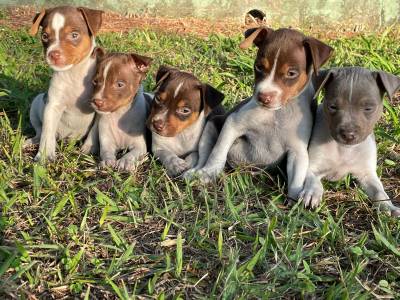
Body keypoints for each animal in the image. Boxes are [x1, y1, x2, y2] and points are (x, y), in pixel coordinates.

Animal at [26, 5, 104, 162]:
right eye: (44, 36)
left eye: (74, 35)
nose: (53, 54)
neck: (75, 74)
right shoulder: (52, 106)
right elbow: (47, 131)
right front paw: (44, 155)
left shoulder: (100, 108)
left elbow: (94, 131)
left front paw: (88, 148)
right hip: (37, 102)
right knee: (40, 131)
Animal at [189, 25, 332, 202]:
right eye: (258, 67)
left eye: (291, 73)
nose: (263, 97)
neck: (277, 113)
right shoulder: (233, 124)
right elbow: (218, 152)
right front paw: (209, 173)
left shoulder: (298, 151)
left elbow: (297, 180)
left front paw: (295, 202)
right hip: (211, 125)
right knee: (205, 154)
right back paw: (195, 172)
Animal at [300, 66, 400, 216]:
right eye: (332, 106)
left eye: (368, 108)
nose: (348, 134)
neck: (345, 149)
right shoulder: (312, 167)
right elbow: (313, 181)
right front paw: (312, 193)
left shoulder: (367, 174)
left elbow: (379, 192)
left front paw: (388, 206)